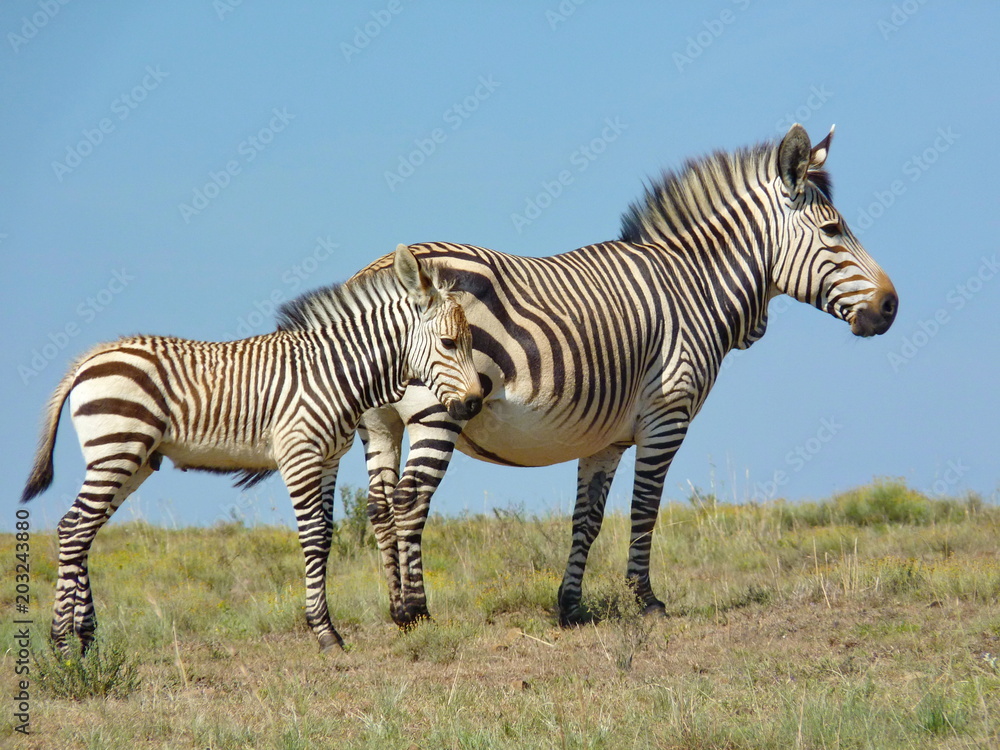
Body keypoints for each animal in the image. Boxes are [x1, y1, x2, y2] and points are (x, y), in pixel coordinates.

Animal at [21, 244, 483, 655]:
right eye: (448, 343)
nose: (475, 404)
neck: (335, 372)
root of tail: (89, 360)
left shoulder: (329, 459)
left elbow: (327, 534)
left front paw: (328, 628)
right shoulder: (299, 454)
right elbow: (313, 535)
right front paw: (325, 634)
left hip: (132, 460)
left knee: (81, 529)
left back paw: (86, 639)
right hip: (116, 450)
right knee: (75, 529)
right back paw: (62, 644)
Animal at [355, 124, 898, 628]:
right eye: (832, 231)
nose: (890, 306)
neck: (695, 287)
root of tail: (376, 271)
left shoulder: (606, 437)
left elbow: (587, 520)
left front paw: (570, 605)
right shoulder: (667, 416)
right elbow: (645, 510)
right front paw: (647, 601)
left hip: (380, 422)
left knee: (380, 507)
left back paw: (394, 608)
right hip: (437, 410)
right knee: (409, 500)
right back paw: (416, 612)